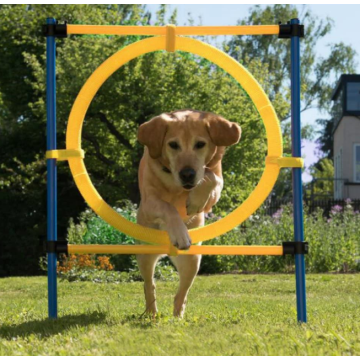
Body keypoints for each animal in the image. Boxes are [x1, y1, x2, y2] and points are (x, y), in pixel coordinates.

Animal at [136, 108, 240, 316]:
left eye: (200, 144)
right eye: (173, 145)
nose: (187, 174)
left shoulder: (215, 188)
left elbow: (211, 177)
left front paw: (194, 201)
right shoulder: (149, 201)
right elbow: (167, 207)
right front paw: (180, 234)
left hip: (193, 261)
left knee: (181, 295)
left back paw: (177, 317)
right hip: (145, 255)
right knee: (149, 285)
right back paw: (151, 314)